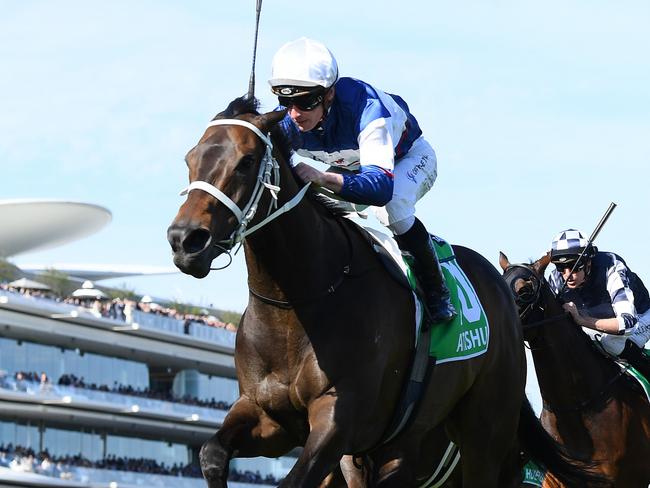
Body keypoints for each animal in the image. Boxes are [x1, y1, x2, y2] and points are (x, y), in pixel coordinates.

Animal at [167, 96, 608, 488]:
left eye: (246, 162)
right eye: (189, 159)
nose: (185, 240)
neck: (297, 304)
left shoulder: (338, 419)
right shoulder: (269, 418)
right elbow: (211, 453)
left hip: (485, 431)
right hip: (406, 442)